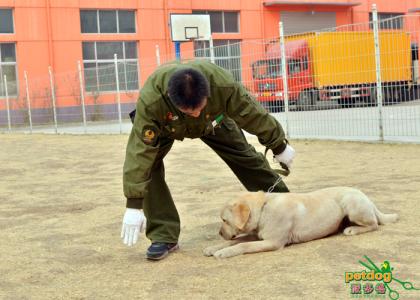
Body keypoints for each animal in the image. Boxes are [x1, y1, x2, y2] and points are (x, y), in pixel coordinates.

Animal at [205, 186, 398, 258]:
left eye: (224, 220)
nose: (219, 233)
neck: (264, 207)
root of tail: (367, 197)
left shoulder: (273, 242)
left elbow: (242, 245)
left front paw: (224, 252)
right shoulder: (257, 235)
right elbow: (239, 240)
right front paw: (213, 247)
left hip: (352, 205)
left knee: (374, 224)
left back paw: (352, 230)